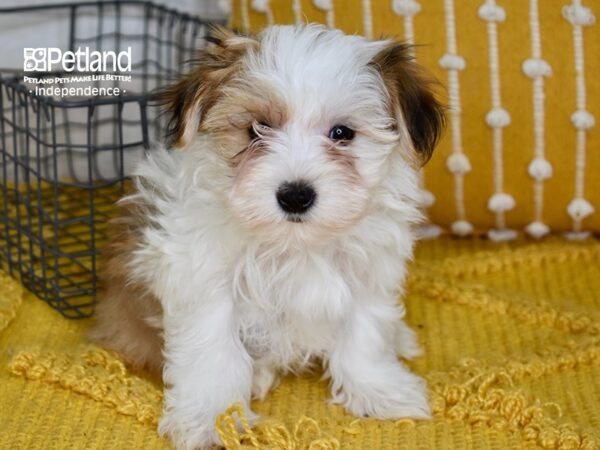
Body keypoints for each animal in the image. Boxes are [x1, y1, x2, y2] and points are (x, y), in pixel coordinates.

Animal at [90, 25, 446, 450]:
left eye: (342, 134)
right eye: (257, 129)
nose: (295, 195)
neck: (295, 244)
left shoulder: (368, 271)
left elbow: (365, 335)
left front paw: (380, 390)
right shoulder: (202, 276)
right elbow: (211, 350)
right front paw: (212, 417)